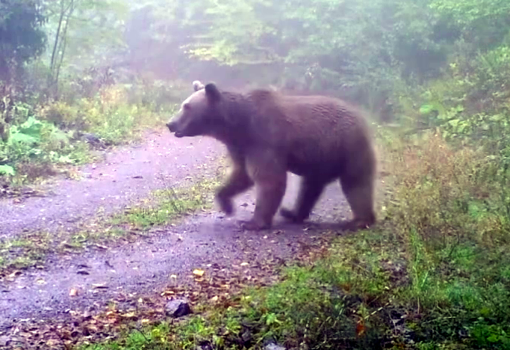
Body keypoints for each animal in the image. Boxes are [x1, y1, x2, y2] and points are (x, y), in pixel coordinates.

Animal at [165, 80, 376, 231]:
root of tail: (362, 117)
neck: (238, 125)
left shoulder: (264, 138)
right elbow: (241, 174)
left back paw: (360, 220)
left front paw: (252, 222)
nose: (170, 124)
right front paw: (227, 205)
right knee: (310, 186)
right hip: (321, 158)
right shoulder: (241, 146)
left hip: (348, 147)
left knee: (356, 183)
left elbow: (269, 179)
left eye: (187, 107)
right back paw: (292, 213)